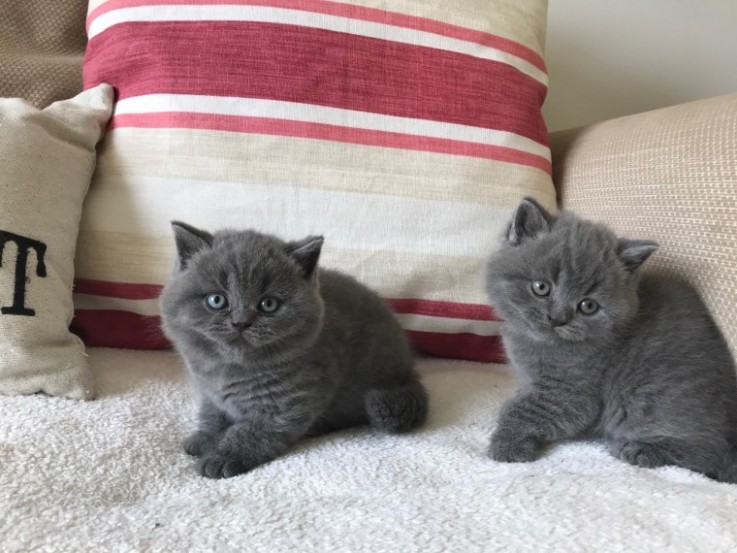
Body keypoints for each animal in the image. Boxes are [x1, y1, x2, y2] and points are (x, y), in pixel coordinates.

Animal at [160, 222, 426, 476]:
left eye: (268, 304)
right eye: (216, 300)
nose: (240, 322)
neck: (229, 370)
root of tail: (409, 369)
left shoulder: (290, 403)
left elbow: (251, 432)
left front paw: (223, 457)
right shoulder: (208, 392)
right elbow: (212, 415)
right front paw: (205, 439)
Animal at [484, 199, 736, 484]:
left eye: (588, 306)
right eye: (541, 287)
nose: (558, 318)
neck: (537, 343)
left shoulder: (571, 394)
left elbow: (523, 409)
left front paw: (506, 443)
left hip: (650, 402)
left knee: (709, 455)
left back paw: (640, 449)